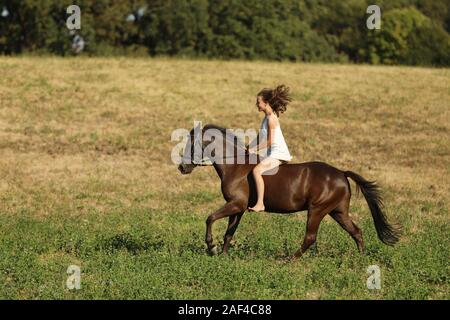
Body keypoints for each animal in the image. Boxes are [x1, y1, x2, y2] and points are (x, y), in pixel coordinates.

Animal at [177, 124, 400, 258]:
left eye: (192, 145)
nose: (182, 168)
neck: (235, 165)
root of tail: (341, 173)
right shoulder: (238, 208)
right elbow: (228, 233)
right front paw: (222, 256)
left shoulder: (235, 204)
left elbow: (210, 218)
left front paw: (210, 247)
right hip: (337, 211)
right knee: (356, 231)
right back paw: (361, 259)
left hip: (317, 210)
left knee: (310, 237)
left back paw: (289, 260)